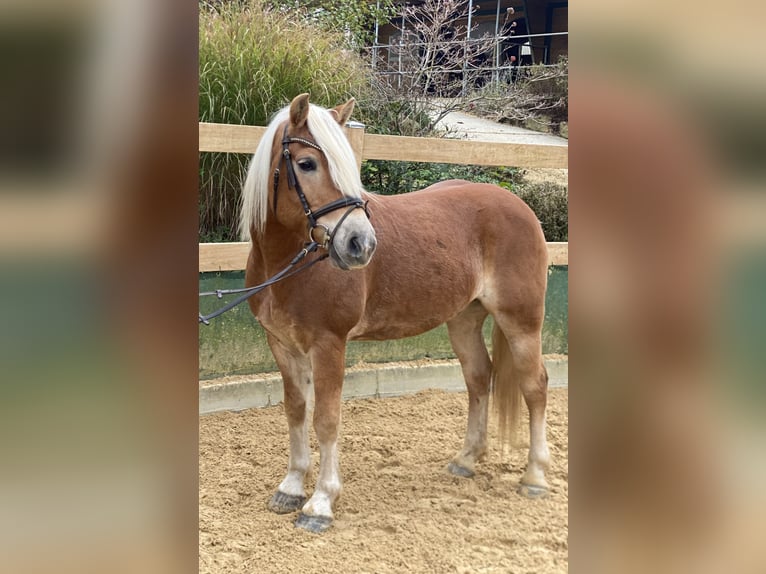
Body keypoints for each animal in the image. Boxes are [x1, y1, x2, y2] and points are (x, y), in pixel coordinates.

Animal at [243, 94, 548, 536]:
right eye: (307, 163)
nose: (361, 243)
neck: (289, 264)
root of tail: (518, 204)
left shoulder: (328, 345)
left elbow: (327, 419)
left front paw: (321, 503)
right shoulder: (282, 344)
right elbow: (296, 411)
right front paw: (291, 487)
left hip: (521, 321)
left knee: (535, 386)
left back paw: (535, 477)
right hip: (464, 319)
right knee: (479, 377)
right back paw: (466, 460)